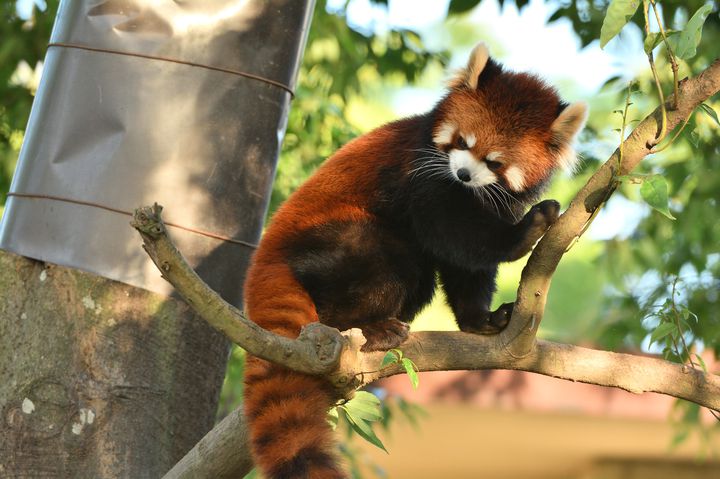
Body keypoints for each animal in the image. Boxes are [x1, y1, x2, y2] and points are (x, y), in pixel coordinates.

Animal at [245, 43, 588, 478]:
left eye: (494, 162)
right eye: (462, 142)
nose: (463, 174)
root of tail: (265, 259)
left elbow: (467, 267)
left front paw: (481, 320)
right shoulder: (420, 175)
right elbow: (459, 235)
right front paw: (526, 232)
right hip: (330, 238)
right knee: (385, 260)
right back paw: (369, 328)